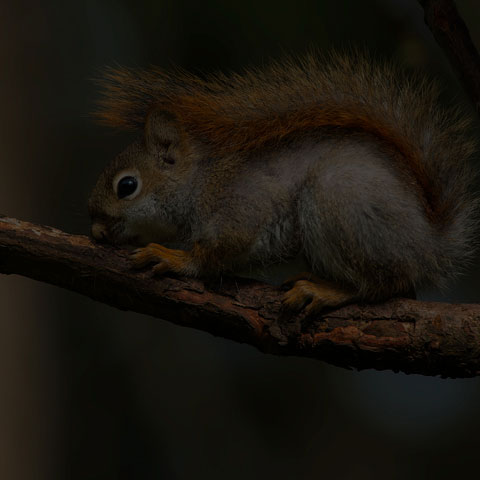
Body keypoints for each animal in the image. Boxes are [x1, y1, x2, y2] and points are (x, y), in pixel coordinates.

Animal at [88, 51, 478, 312]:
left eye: (127, 186)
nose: (96, 227)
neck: (199, 182)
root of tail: (430, 244)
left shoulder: (238, 206)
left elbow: (217, 251)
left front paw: (173, 257)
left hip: (338, 201)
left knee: (385, 283)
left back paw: (324, 291)